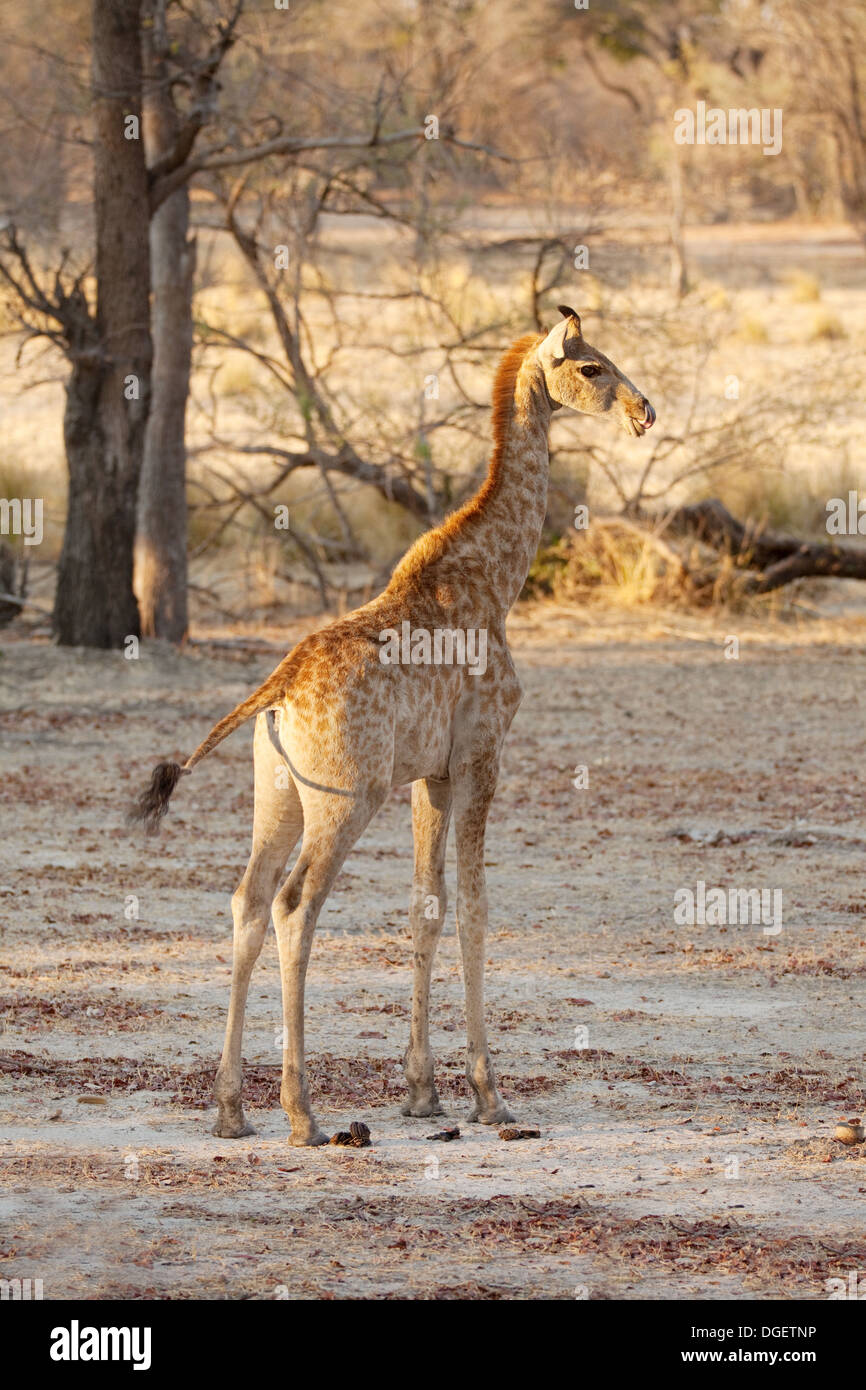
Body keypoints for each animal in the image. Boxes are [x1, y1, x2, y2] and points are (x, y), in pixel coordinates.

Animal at [132, 309, 653, 1145]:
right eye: (594, 367)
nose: (646, 413)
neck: (496, 583)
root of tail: (276, 692)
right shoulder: (481, 757)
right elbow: (474, 908)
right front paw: (488, 1094)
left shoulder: (428, 776)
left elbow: (425, 906)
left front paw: (422, 1092)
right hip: (345, 799)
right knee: (294, 905)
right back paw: (303, 1113)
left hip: (278, 795)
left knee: (248, 900)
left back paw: (231, 1110)